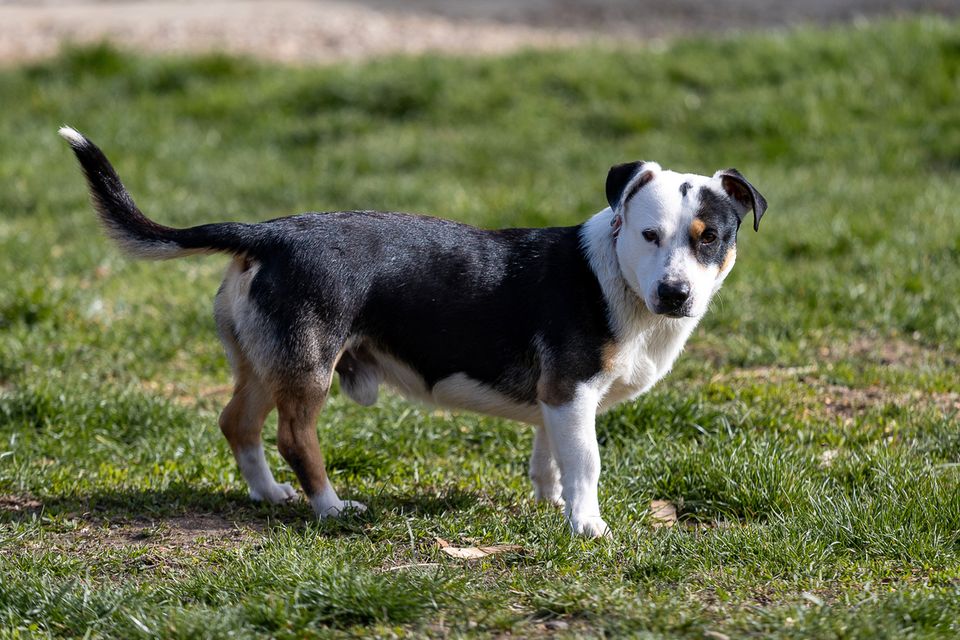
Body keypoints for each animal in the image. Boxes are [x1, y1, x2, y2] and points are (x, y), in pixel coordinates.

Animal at [58, 125, 764, 536]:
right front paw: (586, 525)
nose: (675, 294)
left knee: (238, 423)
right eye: (649, 234)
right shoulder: (572, 392)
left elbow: (550, 458)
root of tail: (270, 233)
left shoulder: (555, 400)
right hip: (309, 365)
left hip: (265, 360)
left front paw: (549, 503)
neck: (615, 279)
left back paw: (269, 494)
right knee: (293, 436)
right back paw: (330, 506)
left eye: (710, 239)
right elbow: (585, 462)